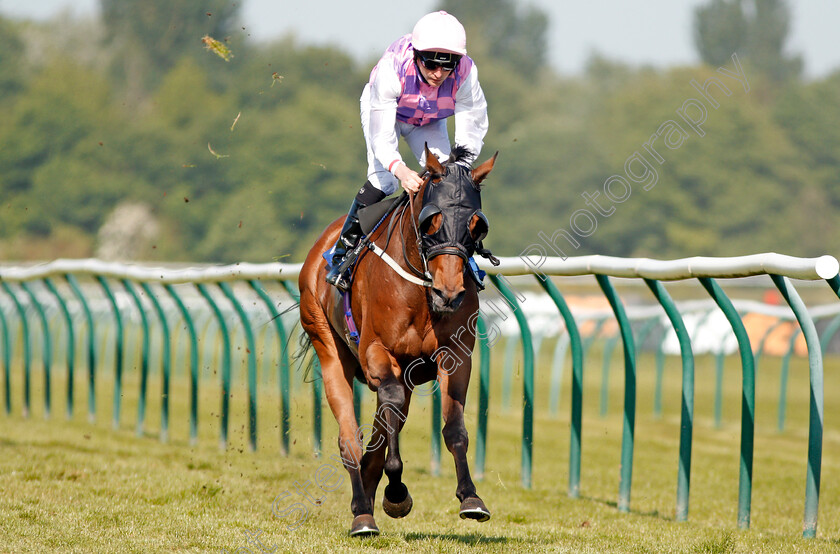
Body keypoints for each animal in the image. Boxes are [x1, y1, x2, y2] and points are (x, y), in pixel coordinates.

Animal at [300, 144, 498, 532]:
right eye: (430, 221)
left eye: (476, 225)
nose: (448, 294)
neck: (421, 290)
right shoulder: (376, 351)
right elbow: (385, 411)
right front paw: (396, 490)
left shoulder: (455, 356)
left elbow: (455, 428)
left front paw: (470, 497)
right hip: (327, 345)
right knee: (351, 438)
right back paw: (363, 513)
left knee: (380, 434)